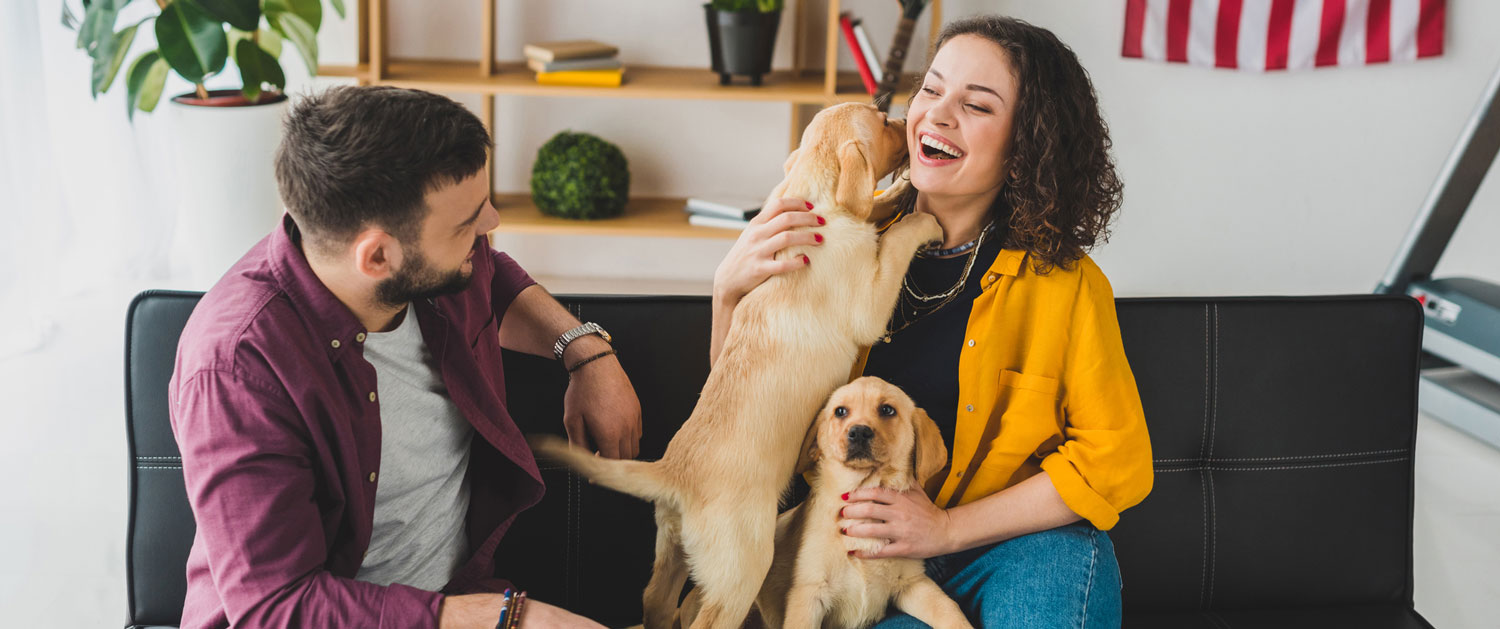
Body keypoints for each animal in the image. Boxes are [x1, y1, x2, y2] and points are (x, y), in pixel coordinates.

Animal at [534, 105, 942, 629]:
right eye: (883, 121)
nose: (905, 118)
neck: (811, 194)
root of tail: (673, 474)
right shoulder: (868, 301)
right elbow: (892, 242)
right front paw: (921, 216)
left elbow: (871, 207)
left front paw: (897, 191)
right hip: (744, 564)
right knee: (708, 617)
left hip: (672, 548)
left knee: (656, 601)